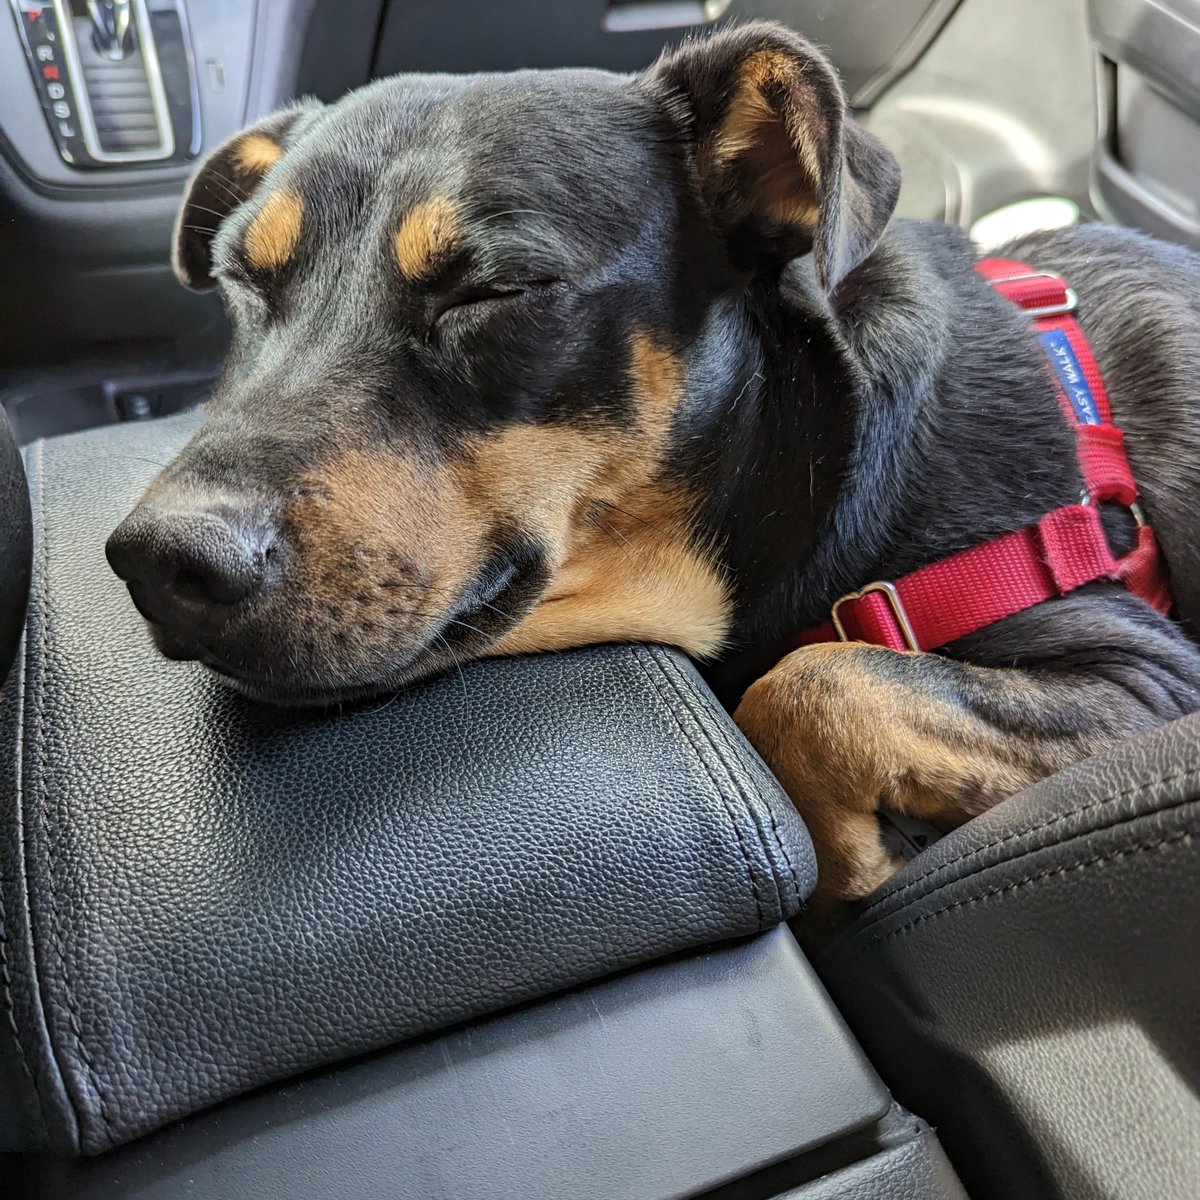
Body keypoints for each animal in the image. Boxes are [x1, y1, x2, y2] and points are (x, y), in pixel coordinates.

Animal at [105, 21, 1200, 902]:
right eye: (241, 278)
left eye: (495, 291)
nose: (158, 562)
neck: (805, 459)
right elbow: (821, 684)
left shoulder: (1150, 679)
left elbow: (815, 685)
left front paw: (853, 866)